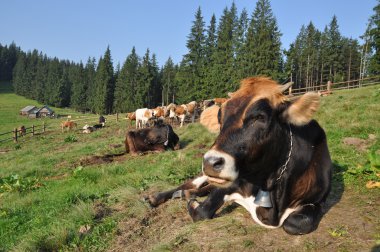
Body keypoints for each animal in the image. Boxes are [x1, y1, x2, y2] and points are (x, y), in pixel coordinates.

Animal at [147, 77, 332, 236]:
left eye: (259, 117)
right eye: (220, 117)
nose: (210, 162)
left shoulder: (318, 200)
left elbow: (296, 224)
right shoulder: (232, 182)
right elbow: (202, 211)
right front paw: (193, 203)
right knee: (190, 184)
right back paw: (157, 197)